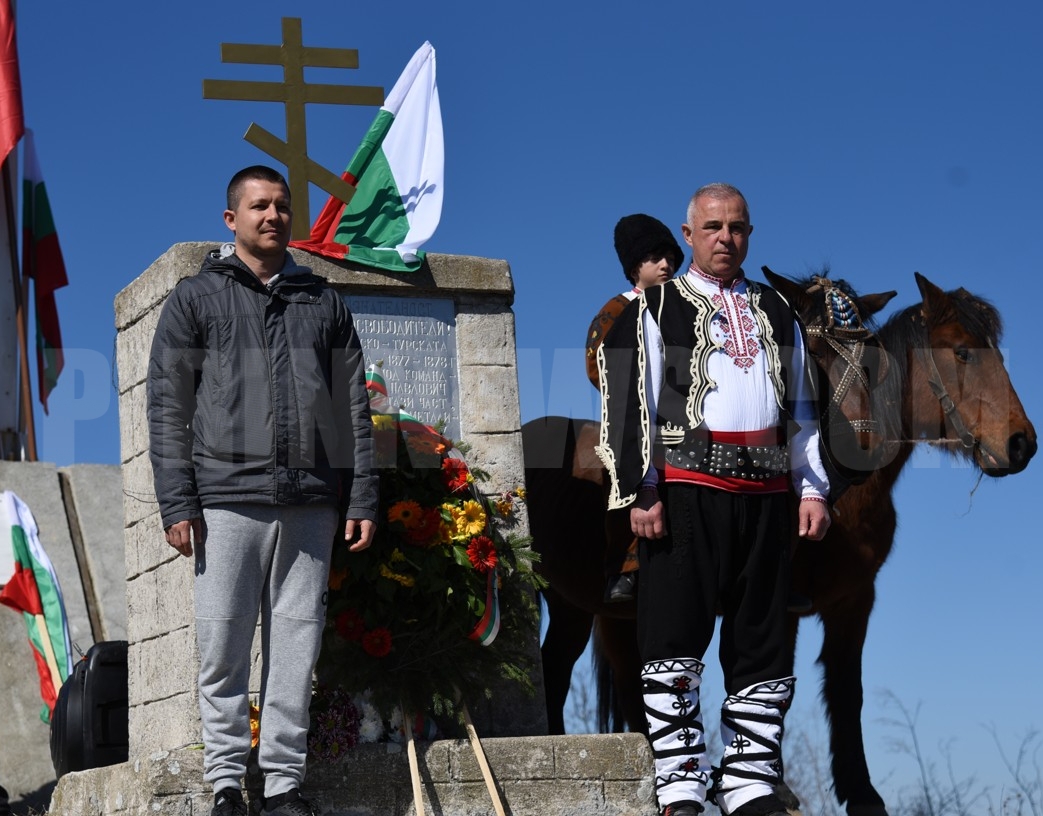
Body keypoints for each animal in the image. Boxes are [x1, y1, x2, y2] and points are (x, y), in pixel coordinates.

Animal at [521, 273, 1034, 816]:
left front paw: (861, 793)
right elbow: (772, 680)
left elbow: (846, 690)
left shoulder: (854, 601)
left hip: (583, 609)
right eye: (962, 352)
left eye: (871, 359)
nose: (1021, 442)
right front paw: (772, 786)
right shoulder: (782, 600)